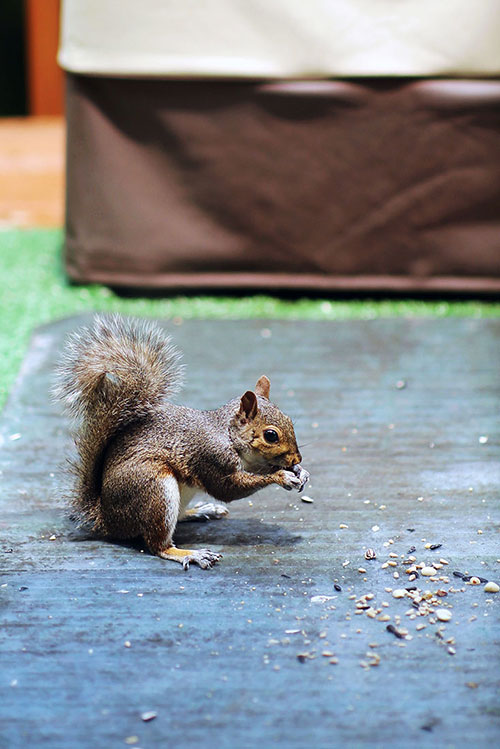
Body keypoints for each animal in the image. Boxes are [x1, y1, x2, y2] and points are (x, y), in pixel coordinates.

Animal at [56, 314, 310, 568]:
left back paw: (199, 511)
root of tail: (106, 518)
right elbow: (227, 489)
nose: (296, 458)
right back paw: (189, 553)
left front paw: (300, 471)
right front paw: (282, 476)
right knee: (158, 544)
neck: (228, 435)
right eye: (271, 435)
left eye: (289, 420)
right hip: (154, 488)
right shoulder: (211, 456)